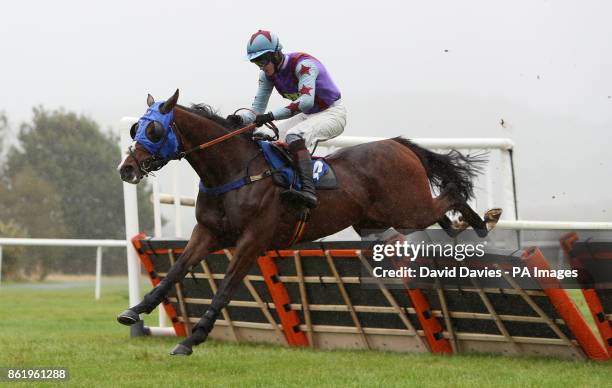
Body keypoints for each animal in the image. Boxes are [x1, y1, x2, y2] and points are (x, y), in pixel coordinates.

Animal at [116, 89, 502, 356]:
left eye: (153, 129)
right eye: (136, 128)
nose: (127, 168)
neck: (233, 172)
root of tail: (397, 144)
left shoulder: (252, 241)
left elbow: (225, 288)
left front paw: (192, 339)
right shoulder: (209, 233)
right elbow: (176, 270)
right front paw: (136, 310)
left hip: (408, 208)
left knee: (450, 193)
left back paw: (483, 222)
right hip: (380, 219)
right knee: (442, 212)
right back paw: (461, 227)